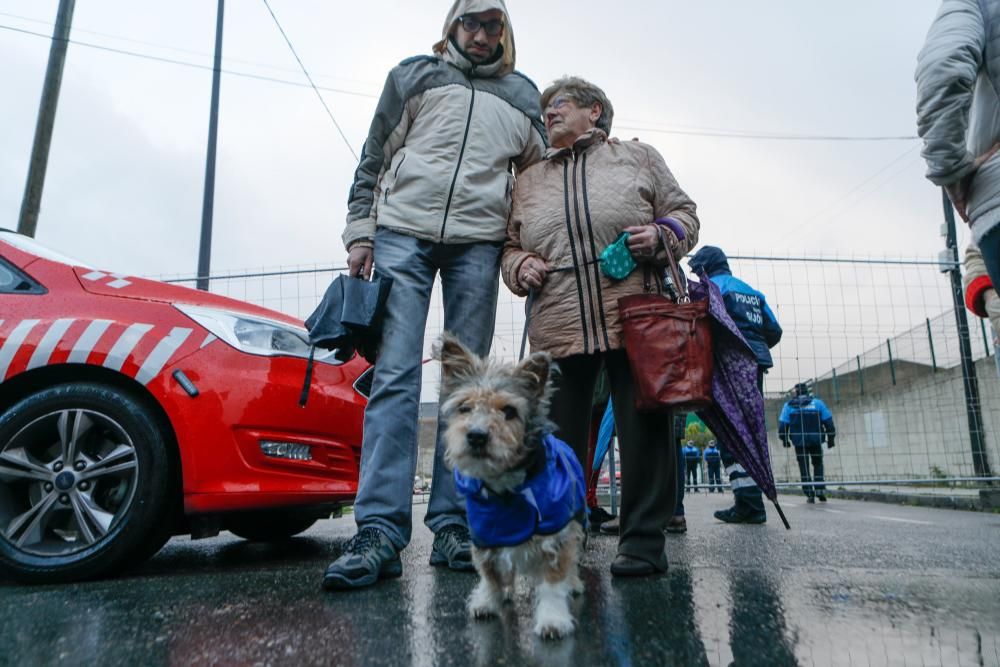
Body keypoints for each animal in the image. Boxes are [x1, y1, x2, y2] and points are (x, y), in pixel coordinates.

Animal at [436, 334, 584, 640]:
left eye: (509, 411)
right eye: (464, 408)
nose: (477, 436)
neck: (505, 489)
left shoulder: (556, 534)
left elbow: (553, 582)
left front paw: (553, 618)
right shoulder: (486, 533)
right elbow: (490, 575)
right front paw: (488, 600)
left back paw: (574, 584)